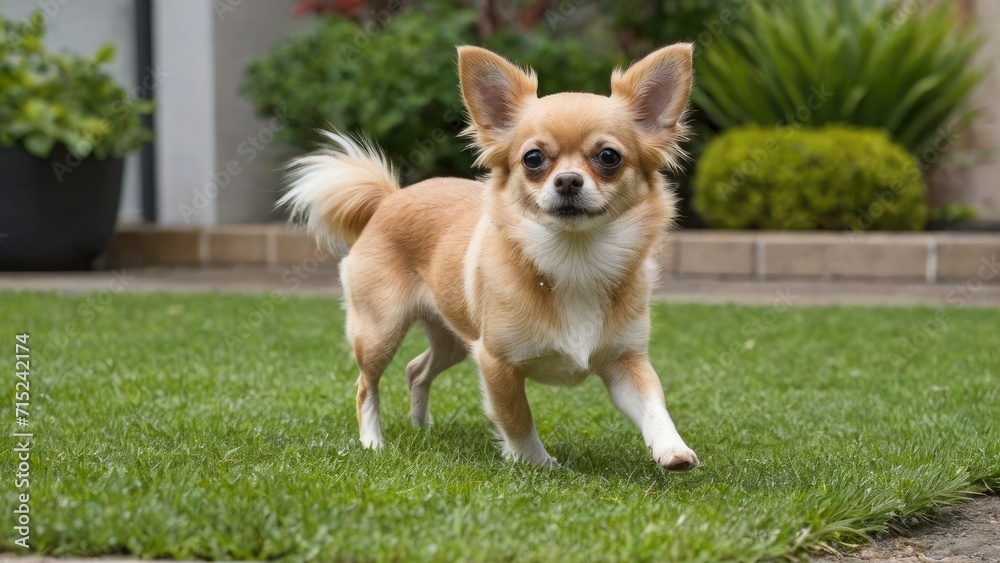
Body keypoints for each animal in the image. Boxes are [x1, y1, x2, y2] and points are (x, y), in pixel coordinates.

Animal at [282, 44, 700, 470]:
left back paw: (422, 429)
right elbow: (517, 416)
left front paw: (672, 448)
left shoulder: (625, 362)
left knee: (416, 370)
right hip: (380, 332)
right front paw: (536, 463)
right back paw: (373, 442)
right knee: (366, 385)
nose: (568, 181)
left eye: (609, 157)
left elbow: (654, 403)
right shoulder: (495, 362)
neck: (574, 259)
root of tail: (389, 199)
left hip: (452, 337)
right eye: (533, 159)